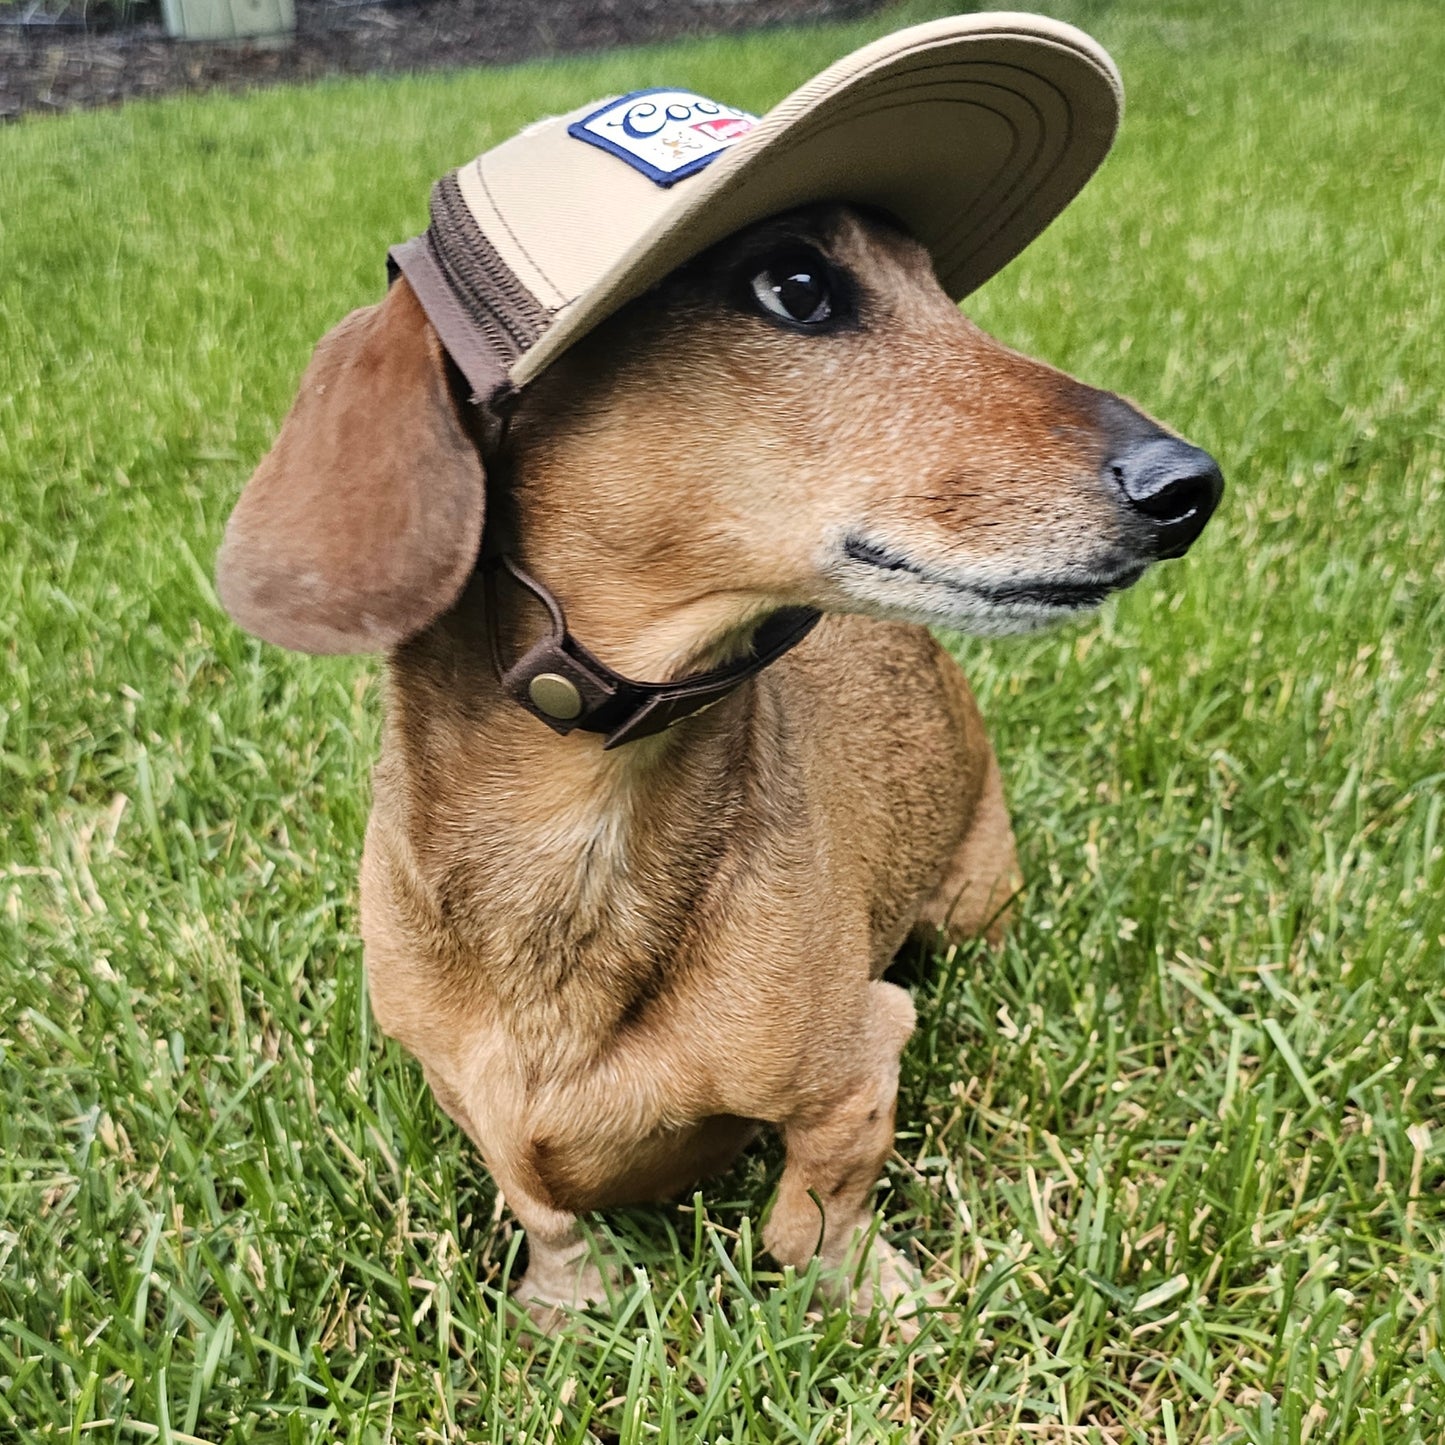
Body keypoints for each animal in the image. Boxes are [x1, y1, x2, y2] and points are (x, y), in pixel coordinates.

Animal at [219, 200, 1225, 1323]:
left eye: (937, 288)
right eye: (794, 285)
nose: (1189, 484)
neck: (582, 847)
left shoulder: (863, 1051)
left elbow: (807, 1217)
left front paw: (873, 1294)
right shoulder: (460, 1085)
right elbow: (541, 1206)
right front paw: (566, 1300)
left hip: (971, 904)